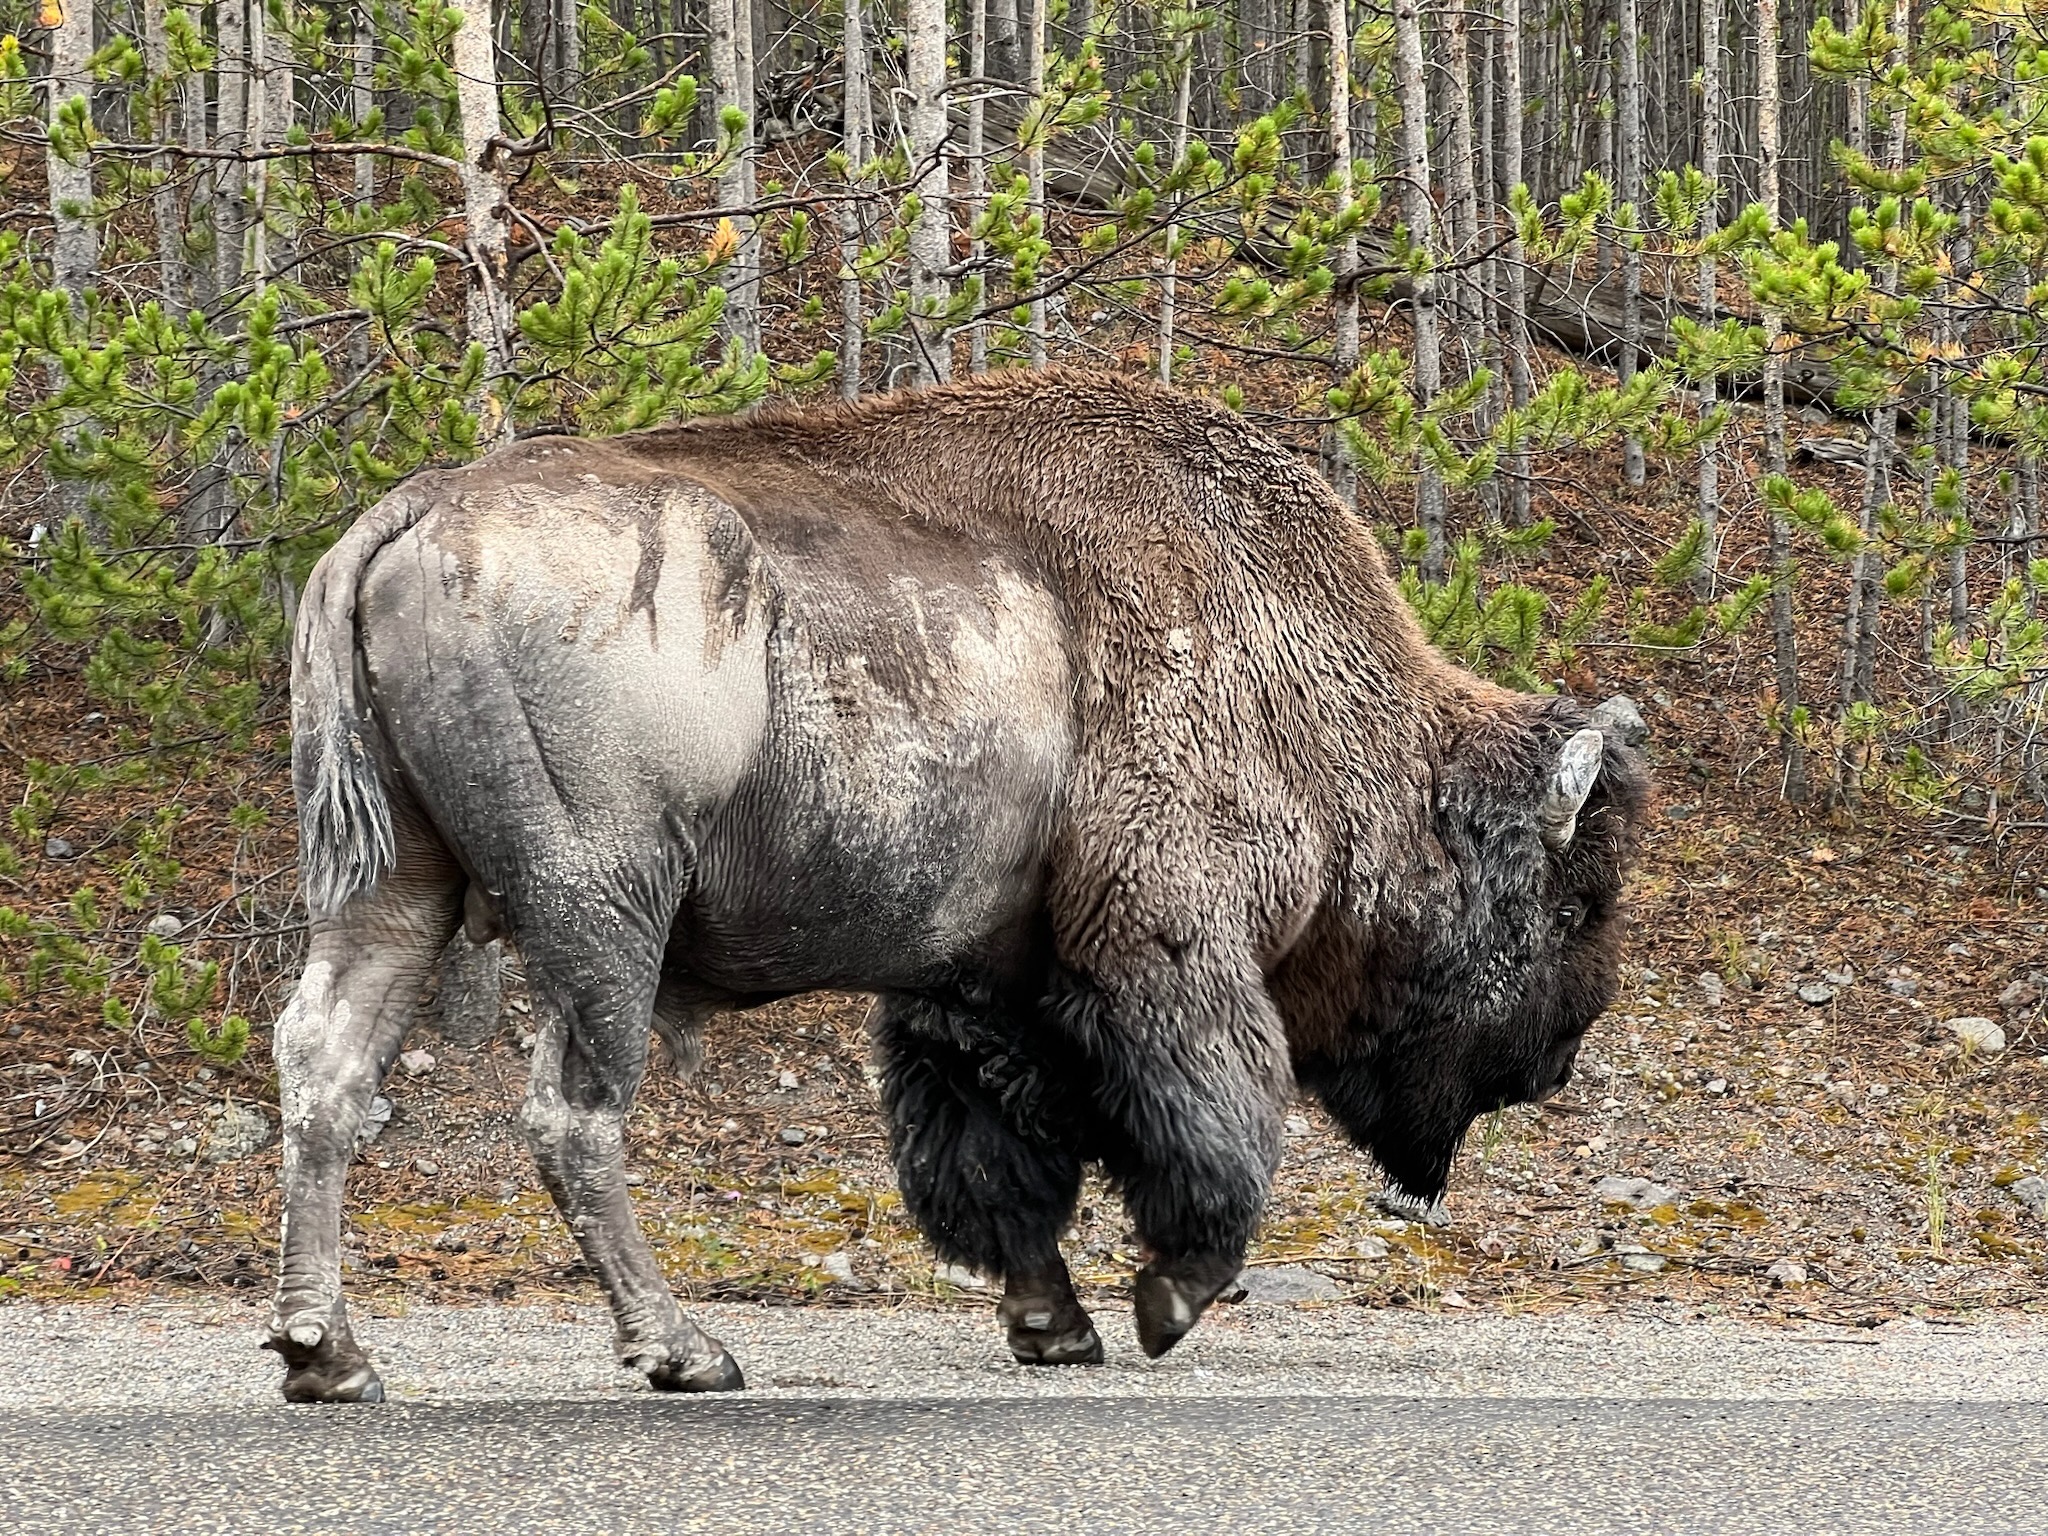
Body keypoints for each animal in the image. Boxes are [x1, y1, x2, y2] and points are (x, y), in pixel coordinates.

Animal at [266, 369, 1647, 1402]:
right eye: (1564, 905)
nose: (1555, 1060)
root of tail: (409, 515)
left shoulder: (977, 982)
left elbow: (992, 1152)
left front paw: (1054, 1327)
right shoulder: (1165, 942)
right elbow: (1209, 1123)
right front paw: (1167, 1301)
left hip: (396, 888)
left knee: (325, 1069)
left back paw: (325, 1356)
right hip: (601, 912)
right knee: (572, 1114)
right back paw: (686, 1352)